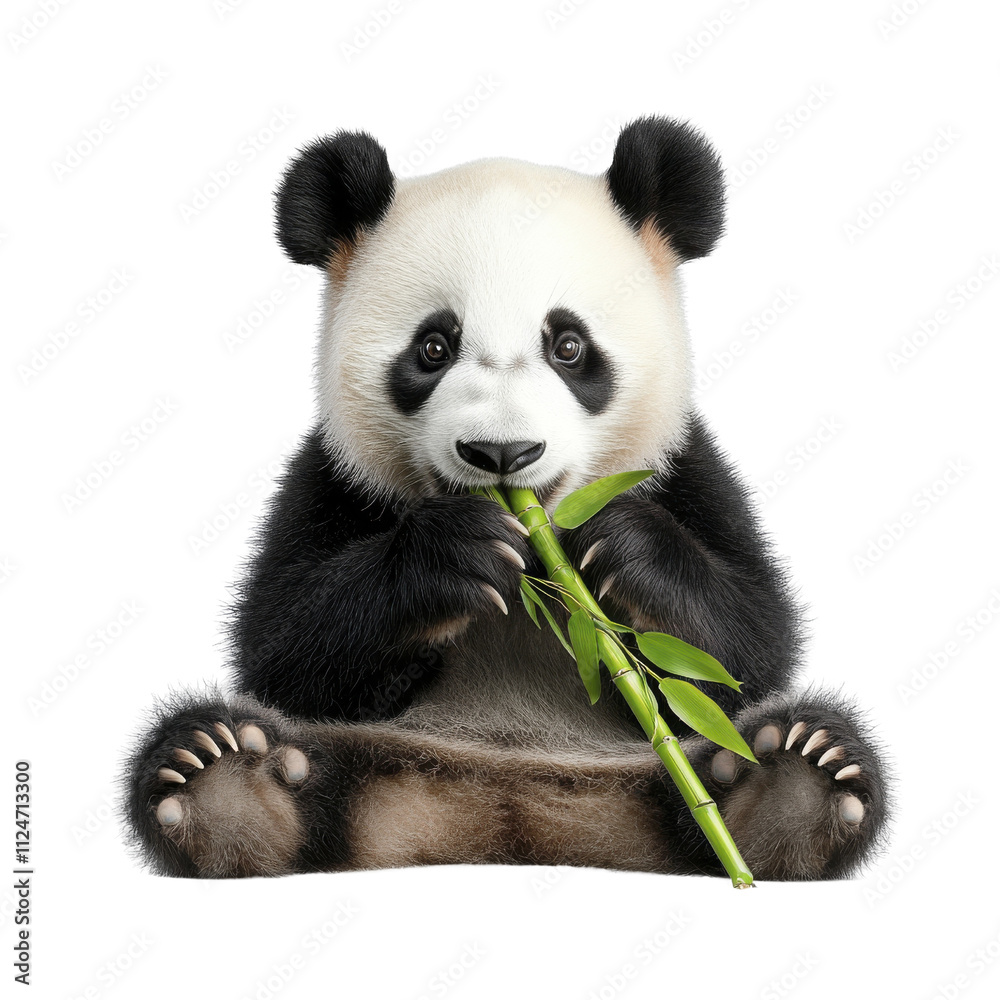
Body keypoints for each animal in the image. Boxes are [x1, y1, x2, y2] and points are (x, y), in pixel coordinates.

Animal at [123, 117, 889, 881]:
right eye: (433, 347)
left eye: (569, 346)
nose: (502, 453)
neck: (536, 566)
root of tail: (506, 811)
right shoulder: (336, 476)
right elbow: (285, 646)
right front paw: (454, 555)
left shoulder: (681, 467)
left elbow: (745, 651)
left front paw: (624, 549)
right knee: (263, 748)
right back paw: (227, 782)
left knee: (745, 744)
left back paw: (794, 781)